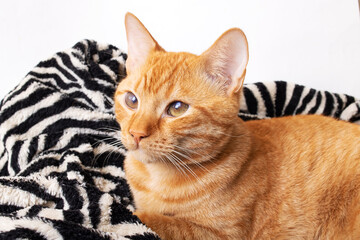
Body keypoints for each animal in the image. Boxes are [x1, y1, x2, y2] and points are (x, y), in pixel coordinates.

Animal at [114, 12, 360, 238]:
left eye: (177, 108)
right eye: (132, 100)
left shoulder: (222, 235)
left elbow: (160, 221)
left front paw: (140, 216)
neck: (156, 179)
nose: (136, 133)